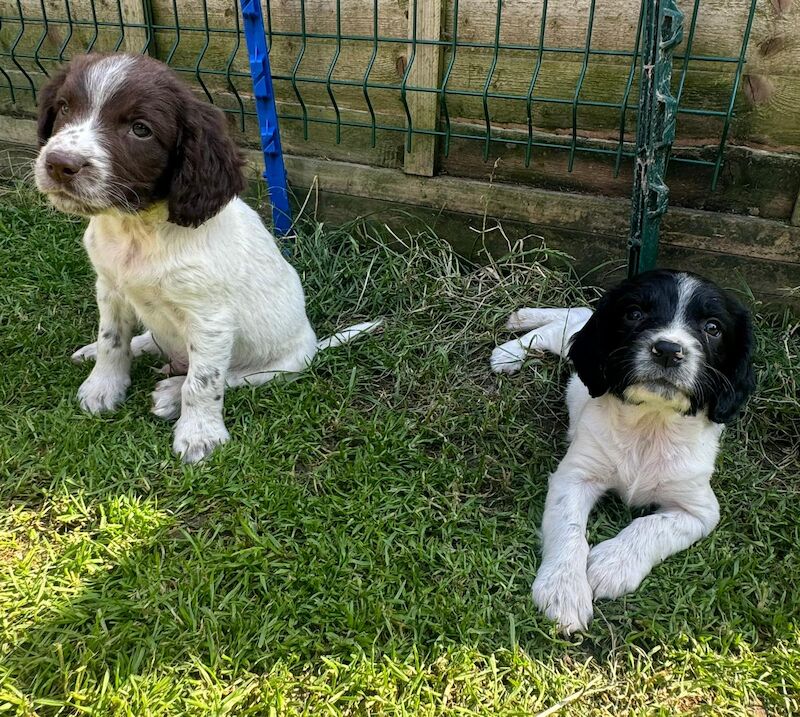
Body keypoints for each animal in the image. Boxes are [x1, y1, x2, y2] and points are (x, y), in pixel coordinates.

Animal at [33, 53, 378, 462]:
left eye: (140, 129)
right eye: (65, 107)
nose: (59, 164)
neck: (139, 228)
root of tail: (313, 344)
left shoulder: (210, 320)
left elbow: (203, 383)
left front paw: (199, 435)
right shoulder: (111, 289)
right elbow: (111, 341)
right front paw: (102, 388)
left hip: (280, 366)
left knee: (228, 377)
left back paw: (171, 394)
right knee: (150, 339)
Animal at [490, 270, 752, 632]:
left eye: (713, 327)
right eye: (634, 314)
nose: (668, 350)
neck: (650, 423)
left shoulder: (699, 509)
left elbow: (652, 526)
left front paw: (611, 565)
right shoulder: (574, 477)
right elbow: (569, 529)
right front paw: (563, 591)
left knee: (573, 315)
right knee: (563, 325)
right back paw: (511, 346)